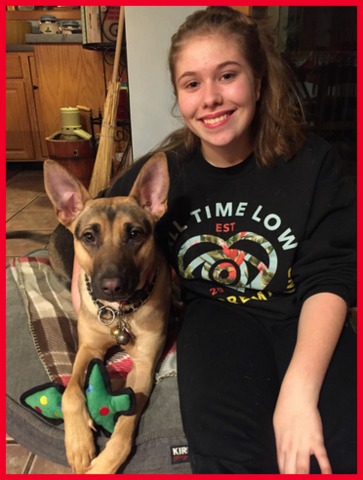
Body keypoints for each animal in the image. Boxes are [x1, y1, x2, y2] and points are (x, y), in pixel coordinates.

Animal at [43, 154, 171, 472]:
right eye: (89, 236)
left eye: (135, 234)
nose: (111, 287)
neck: (120, 313)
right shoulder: (88, 349)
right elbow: (71, 394)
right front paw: (78, 444)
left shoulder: (143, 366)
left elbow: (126, 422)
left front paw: (104, 463)